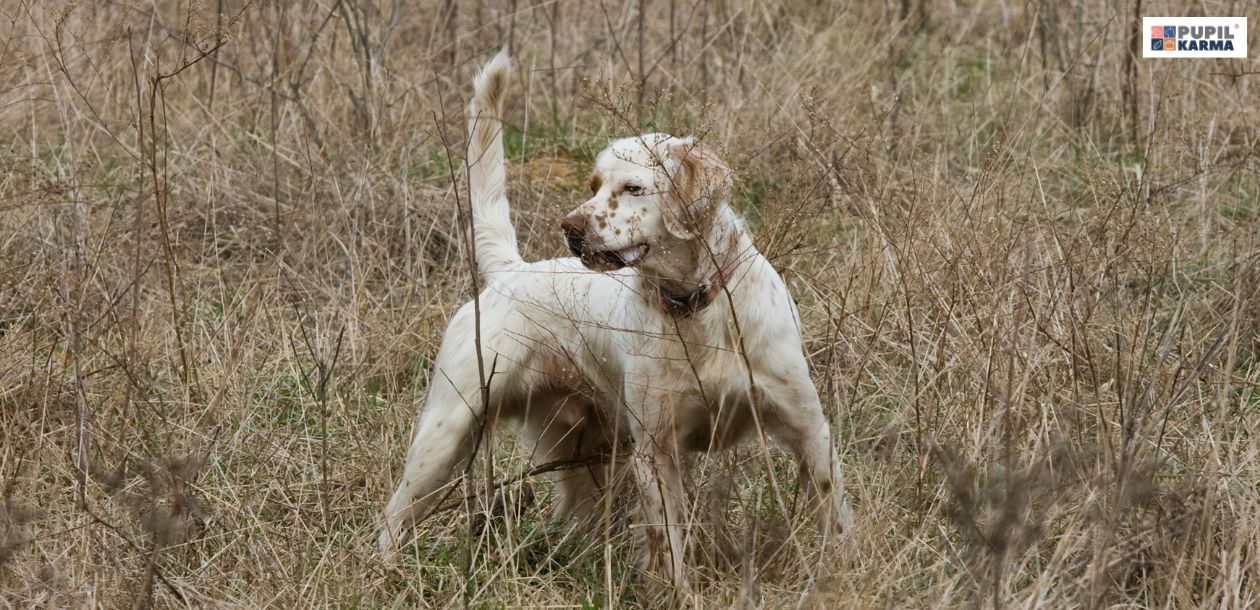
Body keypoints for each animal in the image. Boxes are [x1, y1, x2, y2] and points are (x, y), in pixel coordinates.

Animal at [378, 52, 851, 589]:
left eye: (632, 188)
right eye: (594, 186)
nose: (570, 228)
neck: (695, 308)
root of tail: (510, 270)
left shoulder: (809, 428)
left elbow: (836, 519)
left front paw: (845, 573)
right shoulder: (654, 451)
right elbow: (669, 546)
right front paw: (678, 593)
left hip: (588, 452)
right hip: (447, 431)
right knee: (393, 516)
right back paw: (388, 571)